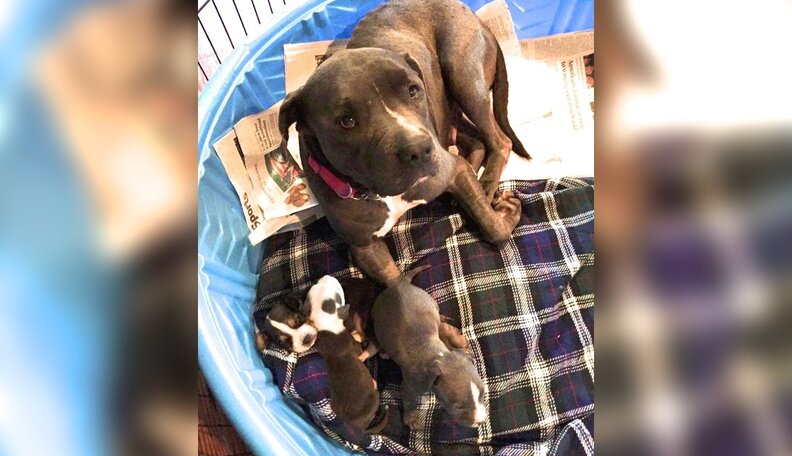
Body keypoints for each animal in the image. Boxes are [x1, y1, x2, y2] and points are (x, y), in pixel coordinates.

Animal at [278, 0, 526, 287]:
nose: (419, 149)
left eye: (412, 90)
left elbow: (495, 230)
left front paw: (504, 214)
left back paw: (485, 185)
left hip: (463, 77)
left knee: (499, 141)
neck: (377, 194)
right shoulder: (365, 248)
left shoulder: (451, 169)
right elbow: (396, 286)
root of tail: (472, 14)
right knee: (476, 142)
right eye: (346, 121)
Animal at [372, 266, 487, 429]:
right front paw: (411, 419)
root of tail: (400, 285)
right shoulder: (411, 386)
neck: (440, 355)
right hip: (377, 314)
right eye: (458, 406)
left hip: (429, 300)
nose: (481, 421)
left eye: (482, 394)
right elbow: (410, 400)